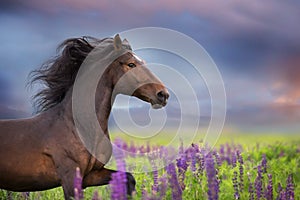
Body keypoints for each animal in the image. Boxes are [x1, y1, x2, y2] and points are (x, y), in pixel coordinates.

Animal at [0, 34, 169, 198]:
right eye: (131, 64)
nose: (163, 94)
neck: (78, 127)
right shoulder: (70, 178)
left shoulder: (90, 175)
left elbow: (129, 179)